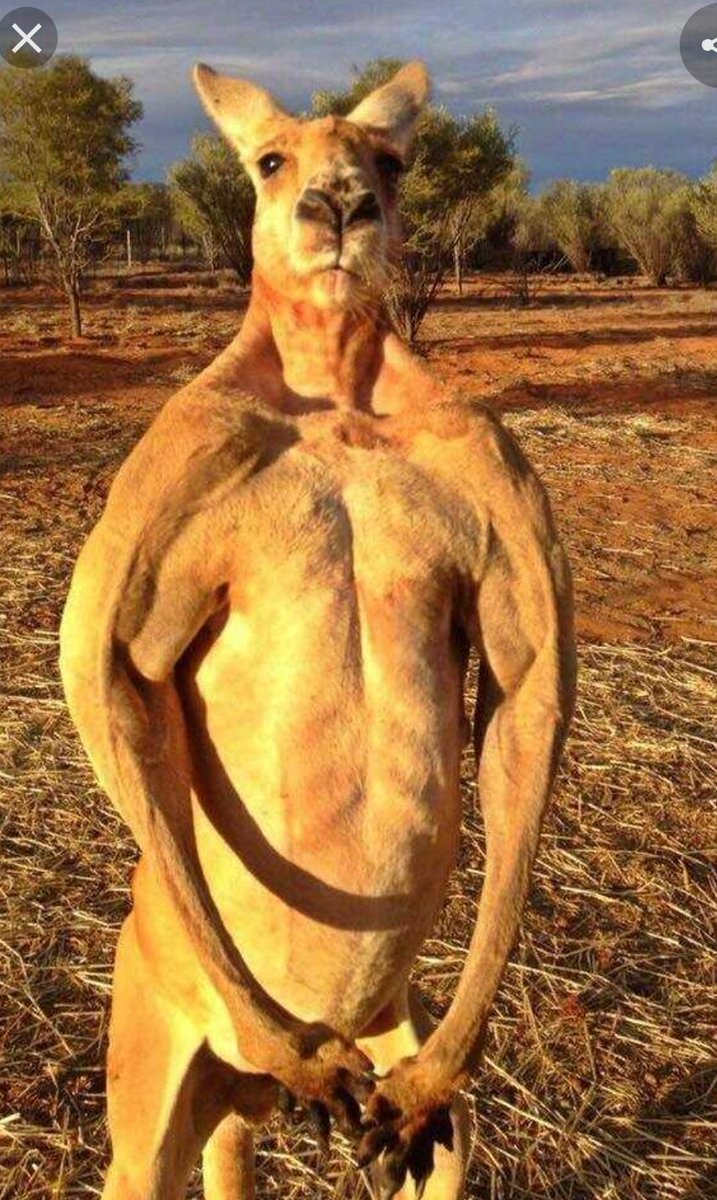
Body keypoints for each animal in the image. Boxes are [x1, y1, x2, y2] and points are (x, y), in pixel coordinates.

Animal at [59, 60, 576, 1200]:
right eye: (268, 159)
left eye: (390, 160)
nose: (338, 206)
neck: (337, 391)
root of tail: (245, 1093)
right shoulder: (181, 456)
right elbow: (106, 668)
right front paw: (290, 1042)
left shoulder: (491, 461)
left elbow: (527, 682)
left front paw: (442, 1064)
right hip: (152, 1076)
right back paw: (291, 1051)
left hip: (404, 1066)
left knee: (434, 1137)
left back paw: (400, 1087)